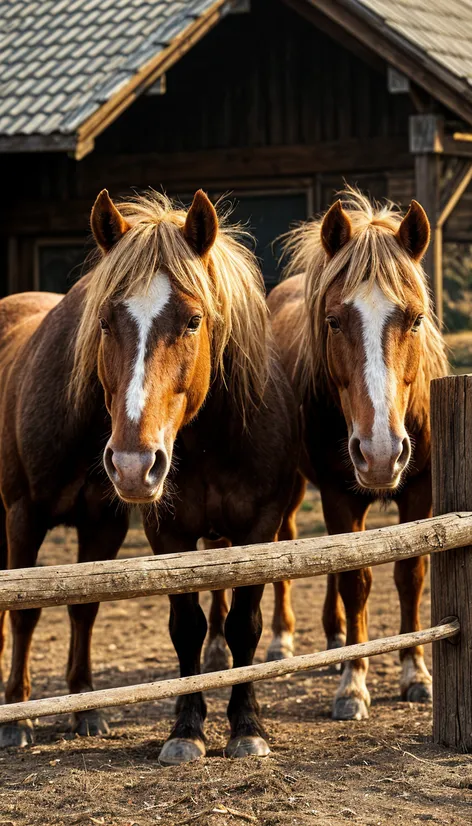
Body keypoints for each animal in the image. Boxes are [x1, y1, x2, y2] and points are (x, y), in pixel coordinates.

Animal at [0, 187, 296, 760]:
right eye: (104, 322)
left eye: (194, 320)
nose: (135, 465)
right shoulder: (149, 529)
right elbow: (182, 624)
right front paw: (186, 729)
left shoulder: (257, 526)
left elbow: (241, 622)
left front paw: (246, 726)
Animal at [268, 190, 448, 716]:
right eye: (333, 321)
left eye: (416, 318)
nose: (381, 453)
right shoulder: (337, 495)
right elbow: (355, 580)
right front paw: (353, 684)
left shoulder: (420, 493)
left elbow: (410, 576)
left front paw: (416, 674)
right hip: (296, 488)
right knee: (290, 544)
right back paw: (287, 642)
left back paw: (335, 638)